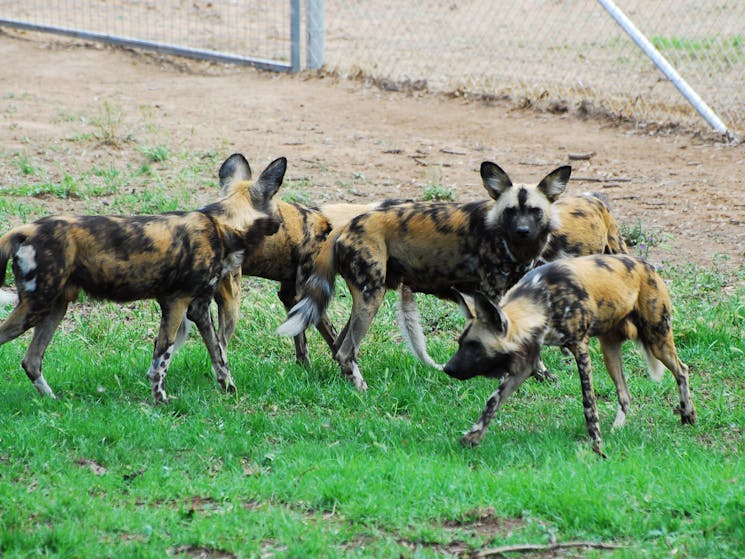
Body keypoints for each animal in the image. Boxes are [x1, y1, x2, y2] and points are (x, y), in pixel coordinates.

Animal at [0, 156, 284, 402]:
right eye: (278, 207)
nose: (281, 222)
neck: (219, 225)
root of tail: (26, 230)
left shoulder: (198, 308)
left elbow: (218, 354)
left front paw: (228, 389)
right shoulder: (176, 303)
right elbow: (163, 356)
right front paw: (160, 399)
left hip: (55, 307)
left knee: (31, 361)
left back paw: (52, 399)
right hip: (36, 306)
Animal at [280, 161, 568, 390]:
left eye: (535, 211)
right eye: (510, 211)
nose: (522, 231)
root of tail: (345, 226)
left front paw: (541, 376)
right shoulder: (493, 296)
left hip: (366, 298)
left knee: (340, 347)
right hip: (371, 297)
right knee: (344, 351)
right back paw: (361, 389)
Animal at [442, 256, 696, 458]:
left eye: (475, 346)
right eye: (460, 343)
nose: (447, 369)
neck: (542, 303)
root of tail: (647, 266)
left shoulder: (580, 348)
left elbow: (588, 404)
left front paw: (597, 447)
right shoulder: (526, 365)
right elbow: (492, 402)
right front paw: (473, 437)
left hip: (657, 339)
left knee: (682, 370)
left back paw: (688, 414)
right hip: (610, 350)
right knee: (625, 395)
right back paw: (617, 430)